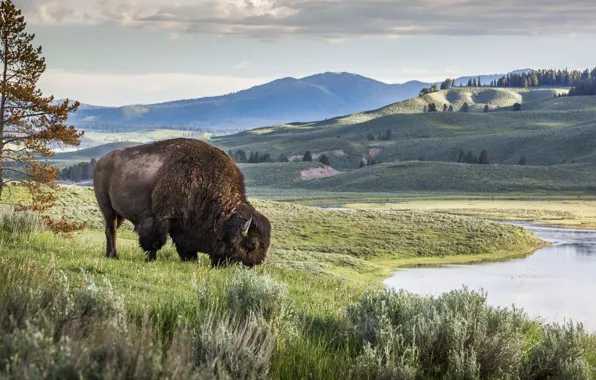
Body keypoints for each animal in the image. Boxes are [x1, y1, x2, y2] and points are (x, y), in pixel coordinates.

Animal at [92, 137, 272, 268]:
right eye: (251, 245)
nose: (252, 265)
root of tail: (100, 161)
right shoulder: (161, 218)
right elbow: (155, 240)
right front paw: (151, 259)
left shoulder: (183, 226)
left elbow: (184, 245)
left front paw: (194, 260)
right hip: (107, 208)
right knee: (111, 230)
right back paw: (113, 255)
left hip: (120, 213)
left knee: (111, 230)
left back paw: (110, 254)